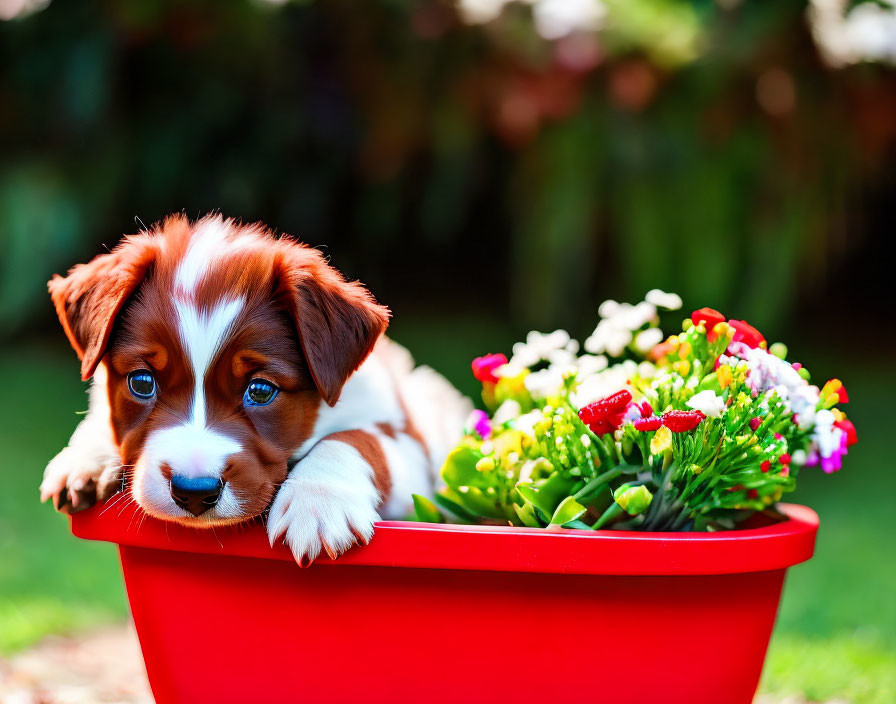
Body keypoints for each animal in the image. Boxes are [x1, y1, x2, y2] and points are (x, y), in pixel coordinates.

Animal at [38, 214, 472, 568]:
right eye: (142, 383)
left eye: (261, 391)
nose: (193, 492)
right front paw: (86, 458)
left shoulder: (409, 446)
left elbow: (356, 439)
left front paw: (316, 501)